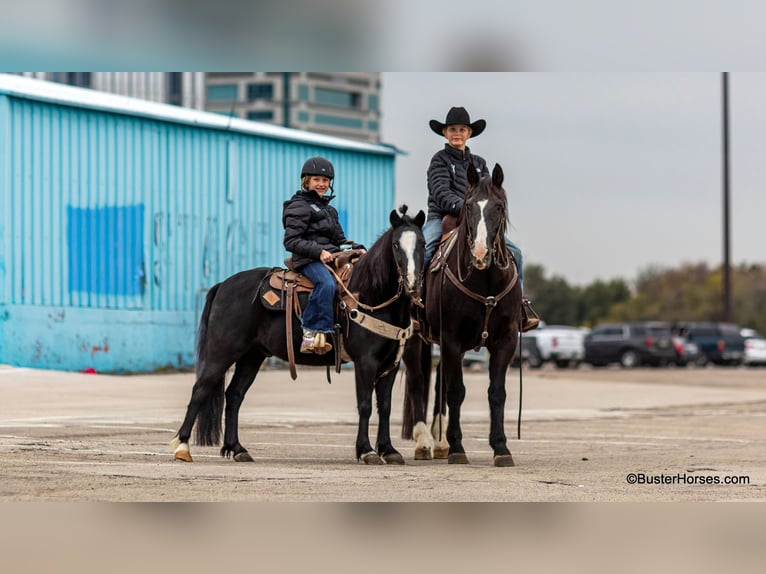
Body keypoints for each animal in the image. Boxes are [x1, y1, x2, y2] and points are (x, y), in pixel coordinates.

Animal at [171, 208, 428, 468]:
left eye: (423, 243)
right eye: (395, 244)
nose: (412, 283)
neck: (370, 296)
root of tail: (223, 285)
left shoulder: (390, 364)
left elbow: (384, 407)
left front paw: (389, 450)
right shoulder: (365, 362)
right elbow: (365, 405)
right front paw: (366, 451)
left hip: (252, 356)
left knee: (234, 395)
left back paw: (237, 449)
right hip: (222, 353)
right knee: (200, 390)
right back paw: (182, 447)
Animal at [402, 163, 520, 468]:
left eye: (499, 206)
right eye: (468, 206)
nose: (480, 254)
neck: (485, 280)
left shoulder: (505, 341)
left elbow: (496, 393)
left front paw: (501, 448)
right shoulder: (452, 338)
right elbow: (456, 391)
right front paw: (457, 447)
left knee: (438, 381)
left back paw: (439, 441)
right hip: (414, 339)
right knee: (417, 381)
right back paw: (424, 442)